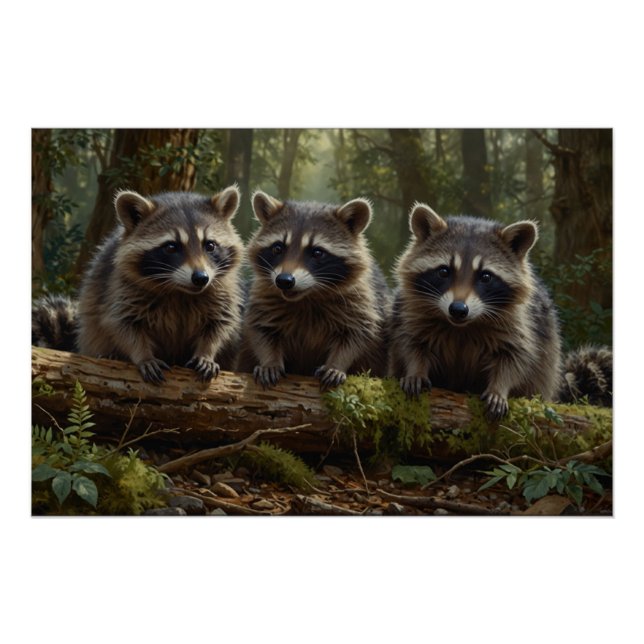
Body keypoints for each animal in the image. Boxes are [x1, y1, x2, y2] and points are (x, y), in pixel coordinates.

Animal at [77, 186, 244, 384]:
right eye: (171, 247)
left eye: (210, 245)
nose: (201, 278)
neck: (180, 290)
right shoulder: (120, 287)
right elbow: (122, 324)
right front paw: (143, 355)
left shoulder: (222, 289)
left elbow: (220, 323)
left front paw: (206, 352)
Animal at [237, 191, 390, 389]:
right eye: (278, 248)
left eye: (317, 252)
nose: (284, 281)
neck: (308, 296)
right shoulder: (264, 295)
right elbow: (261, 329)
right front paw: (270, 361)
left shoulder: (363, 299)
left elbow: (357, 335)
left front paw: (336, 364)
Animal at [389, 203, 562, 420]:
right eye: (444, 271)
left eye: (486, 277)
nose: (458, 309)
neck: (463, 326)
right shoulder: (411, 310)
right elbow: (411, 343)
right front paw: (416, 370)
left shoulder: (522, 322)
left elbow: (515, 357)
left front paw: (499, 387)